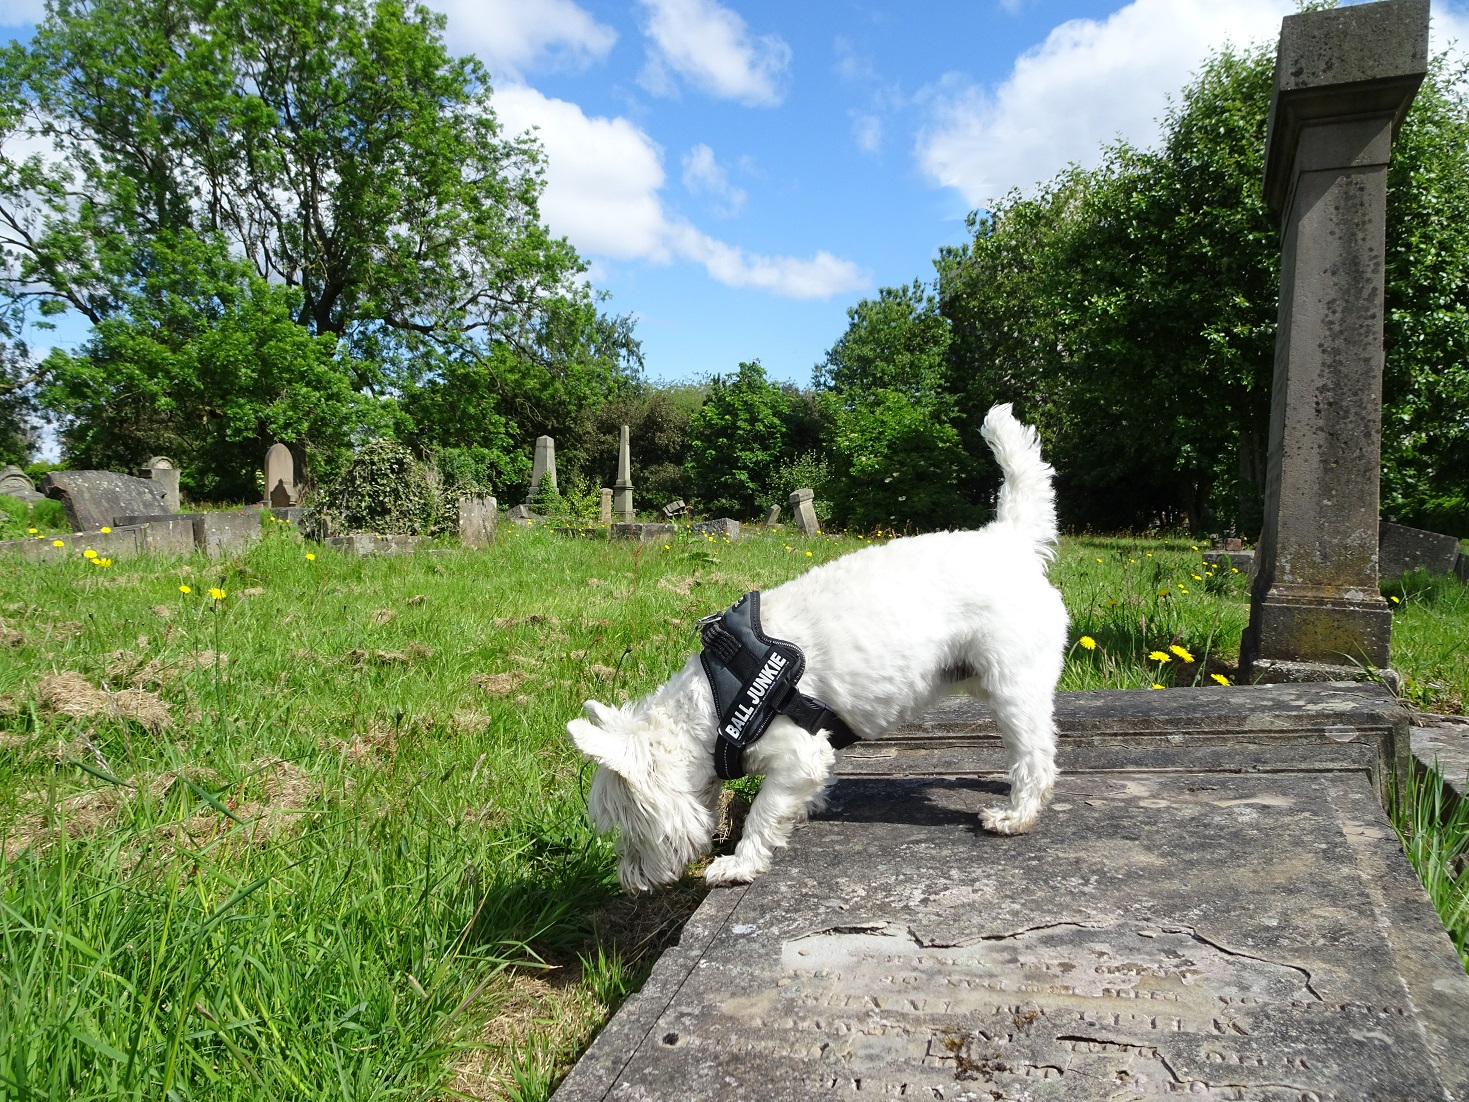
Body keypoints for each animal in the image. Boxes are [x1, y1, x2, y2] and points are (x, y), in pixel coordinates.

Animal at [567, 402, 1063, 887]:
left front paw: (739, 864)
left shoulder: (798, 755)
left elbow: (761, 814)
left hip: (1012, 686)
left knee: (1035, 755)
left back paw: (1015, 815)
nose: (629, 882)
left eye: (626, 827)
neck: (718, 703)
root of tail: (1009, 541)